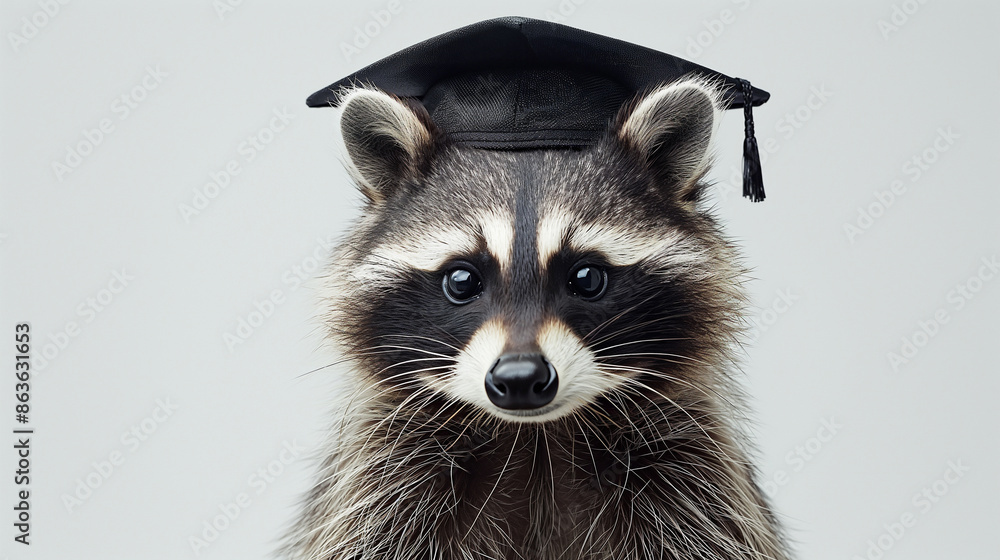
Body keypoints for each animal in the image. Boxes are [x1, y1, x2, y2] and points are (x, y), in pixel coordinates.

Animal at [284, 78, 789, 560]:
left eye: (587, 277)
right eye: (462, 280)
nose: (520, 378)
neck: (534, 438)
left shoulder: (692, 472)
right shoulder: (385, 479)